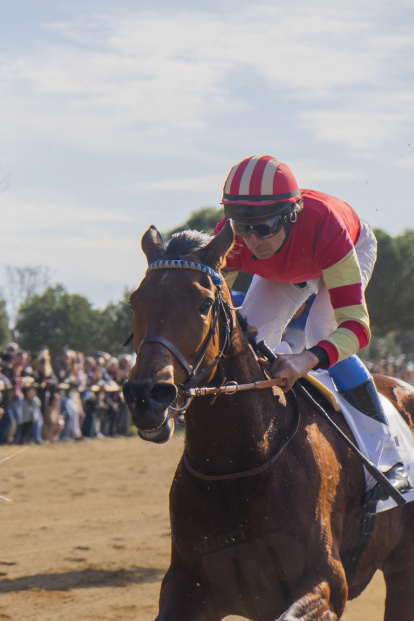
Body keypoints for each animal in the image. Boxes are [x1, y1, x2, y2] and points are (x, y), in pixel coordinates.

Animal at [123, 223, 414, 620]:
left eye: (203, 304)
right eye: (136, 301)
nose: (146, 395)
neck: (238, 465)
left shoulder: (327, 583)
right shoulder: (188, 586)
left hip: (402, 568)